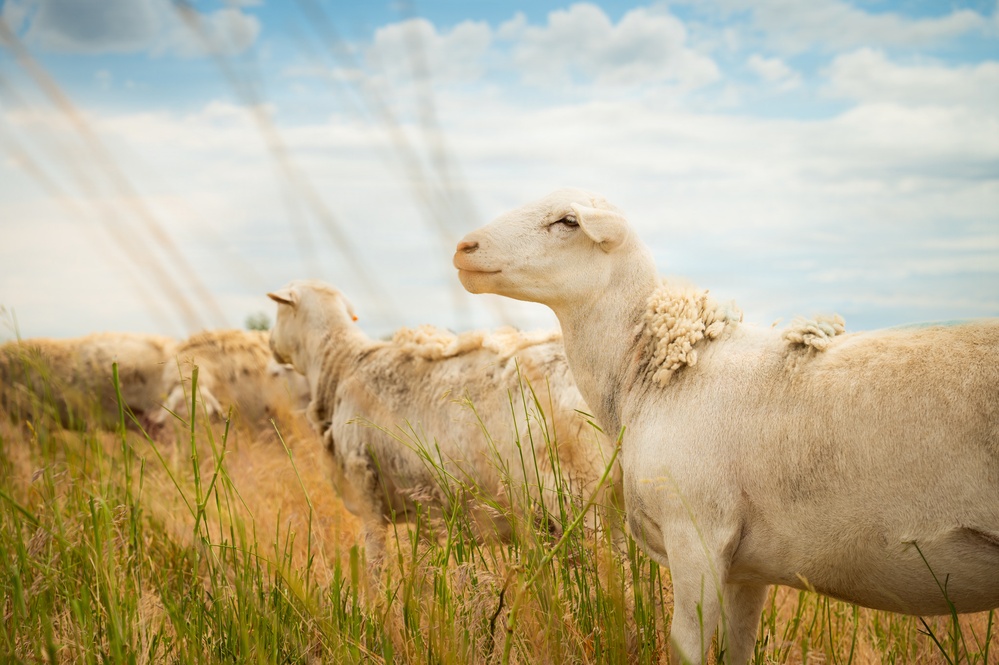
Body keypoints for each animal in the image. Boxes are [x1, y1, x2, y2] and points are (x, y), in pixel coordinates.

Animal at [266, 279, 619, 566]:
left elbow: (375, 563)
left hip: (578, 495)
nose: (269, 342)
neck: (339, 364)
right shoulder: (427, 507)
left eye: (278, 312)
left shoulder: (366, 489)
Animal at [453, 187, 999, 665]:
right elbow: (739, 648)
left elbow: (686, 650)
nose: (463, 247)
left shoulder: (697, 536)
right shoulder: (746, 568)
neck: (652, 374)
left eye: (568, 221)